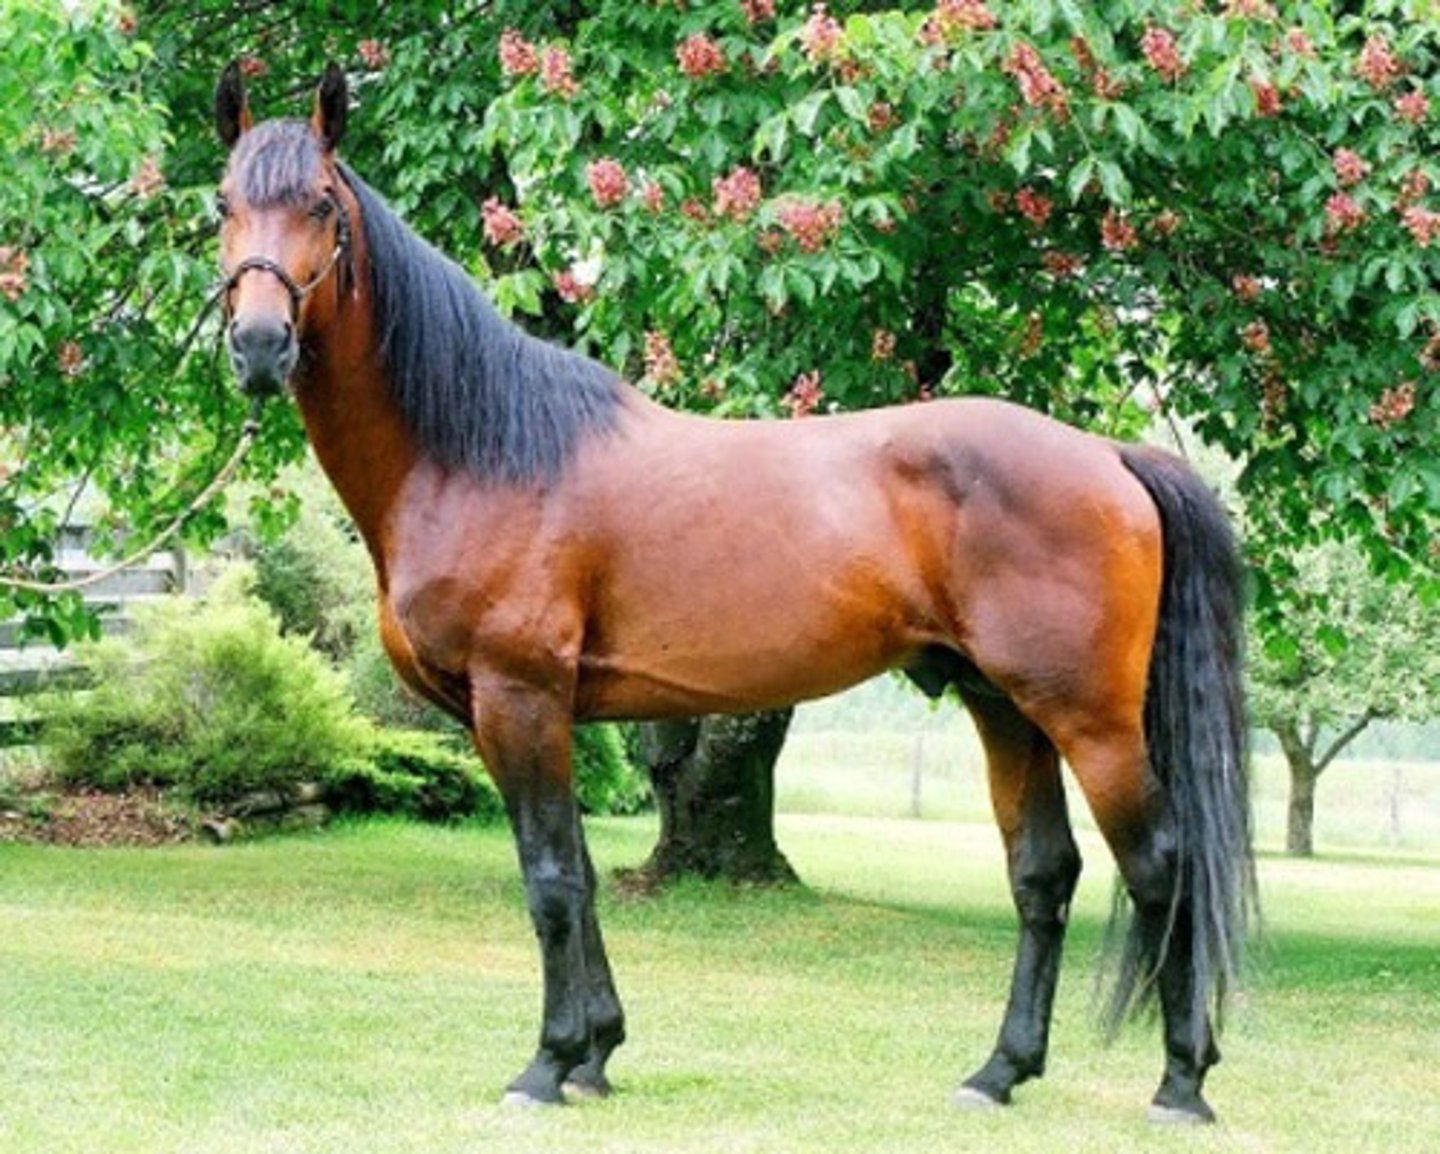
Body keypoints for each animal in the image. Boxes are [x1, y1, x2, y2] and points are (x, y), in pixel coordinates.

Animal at [211, 62, 1253, 1124]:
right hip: (1005, 707)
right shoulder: (534, 714)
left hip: (1091, 719)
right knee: (1044, 876)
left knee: (1162, 868)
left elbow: (550, 878)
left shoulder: (519, 697)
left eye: (321, 205)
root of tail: (1108, 457)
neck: (482, 451)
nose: (259, 344)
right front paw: (596, 1053)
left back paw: (1180, 1083)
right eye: (223, 203)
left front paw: (547, 1065)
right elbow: (580, 873)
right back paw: (997, 1073)